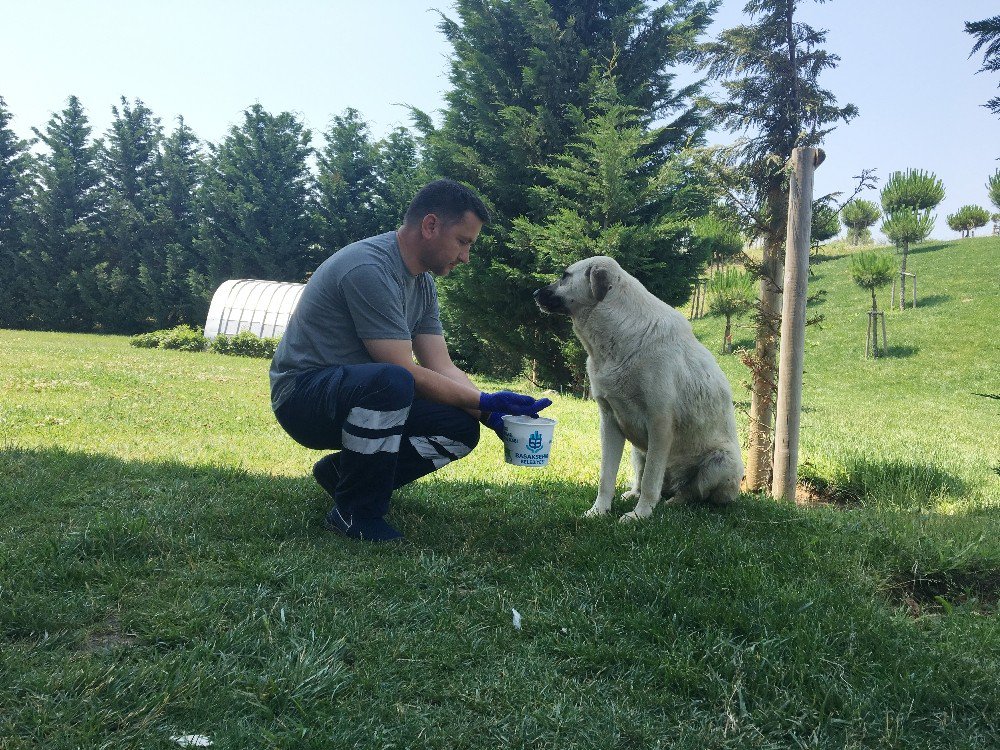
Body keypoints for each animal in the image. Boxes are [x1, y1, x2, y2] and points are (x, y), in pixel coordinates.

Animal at [540, 258, 744, 524]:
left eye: (565, 276)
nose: (534, 293)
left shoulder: (660, 425)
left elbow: (650, 481)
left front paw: (639, 515)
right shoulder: (609, 423)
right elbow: (606, 477)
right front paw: (599, 511)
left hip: (722, 462)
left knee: (693, 492)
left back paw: (674, 501)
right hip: (638, 452)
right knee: (644, 479)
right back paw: (634, 494)